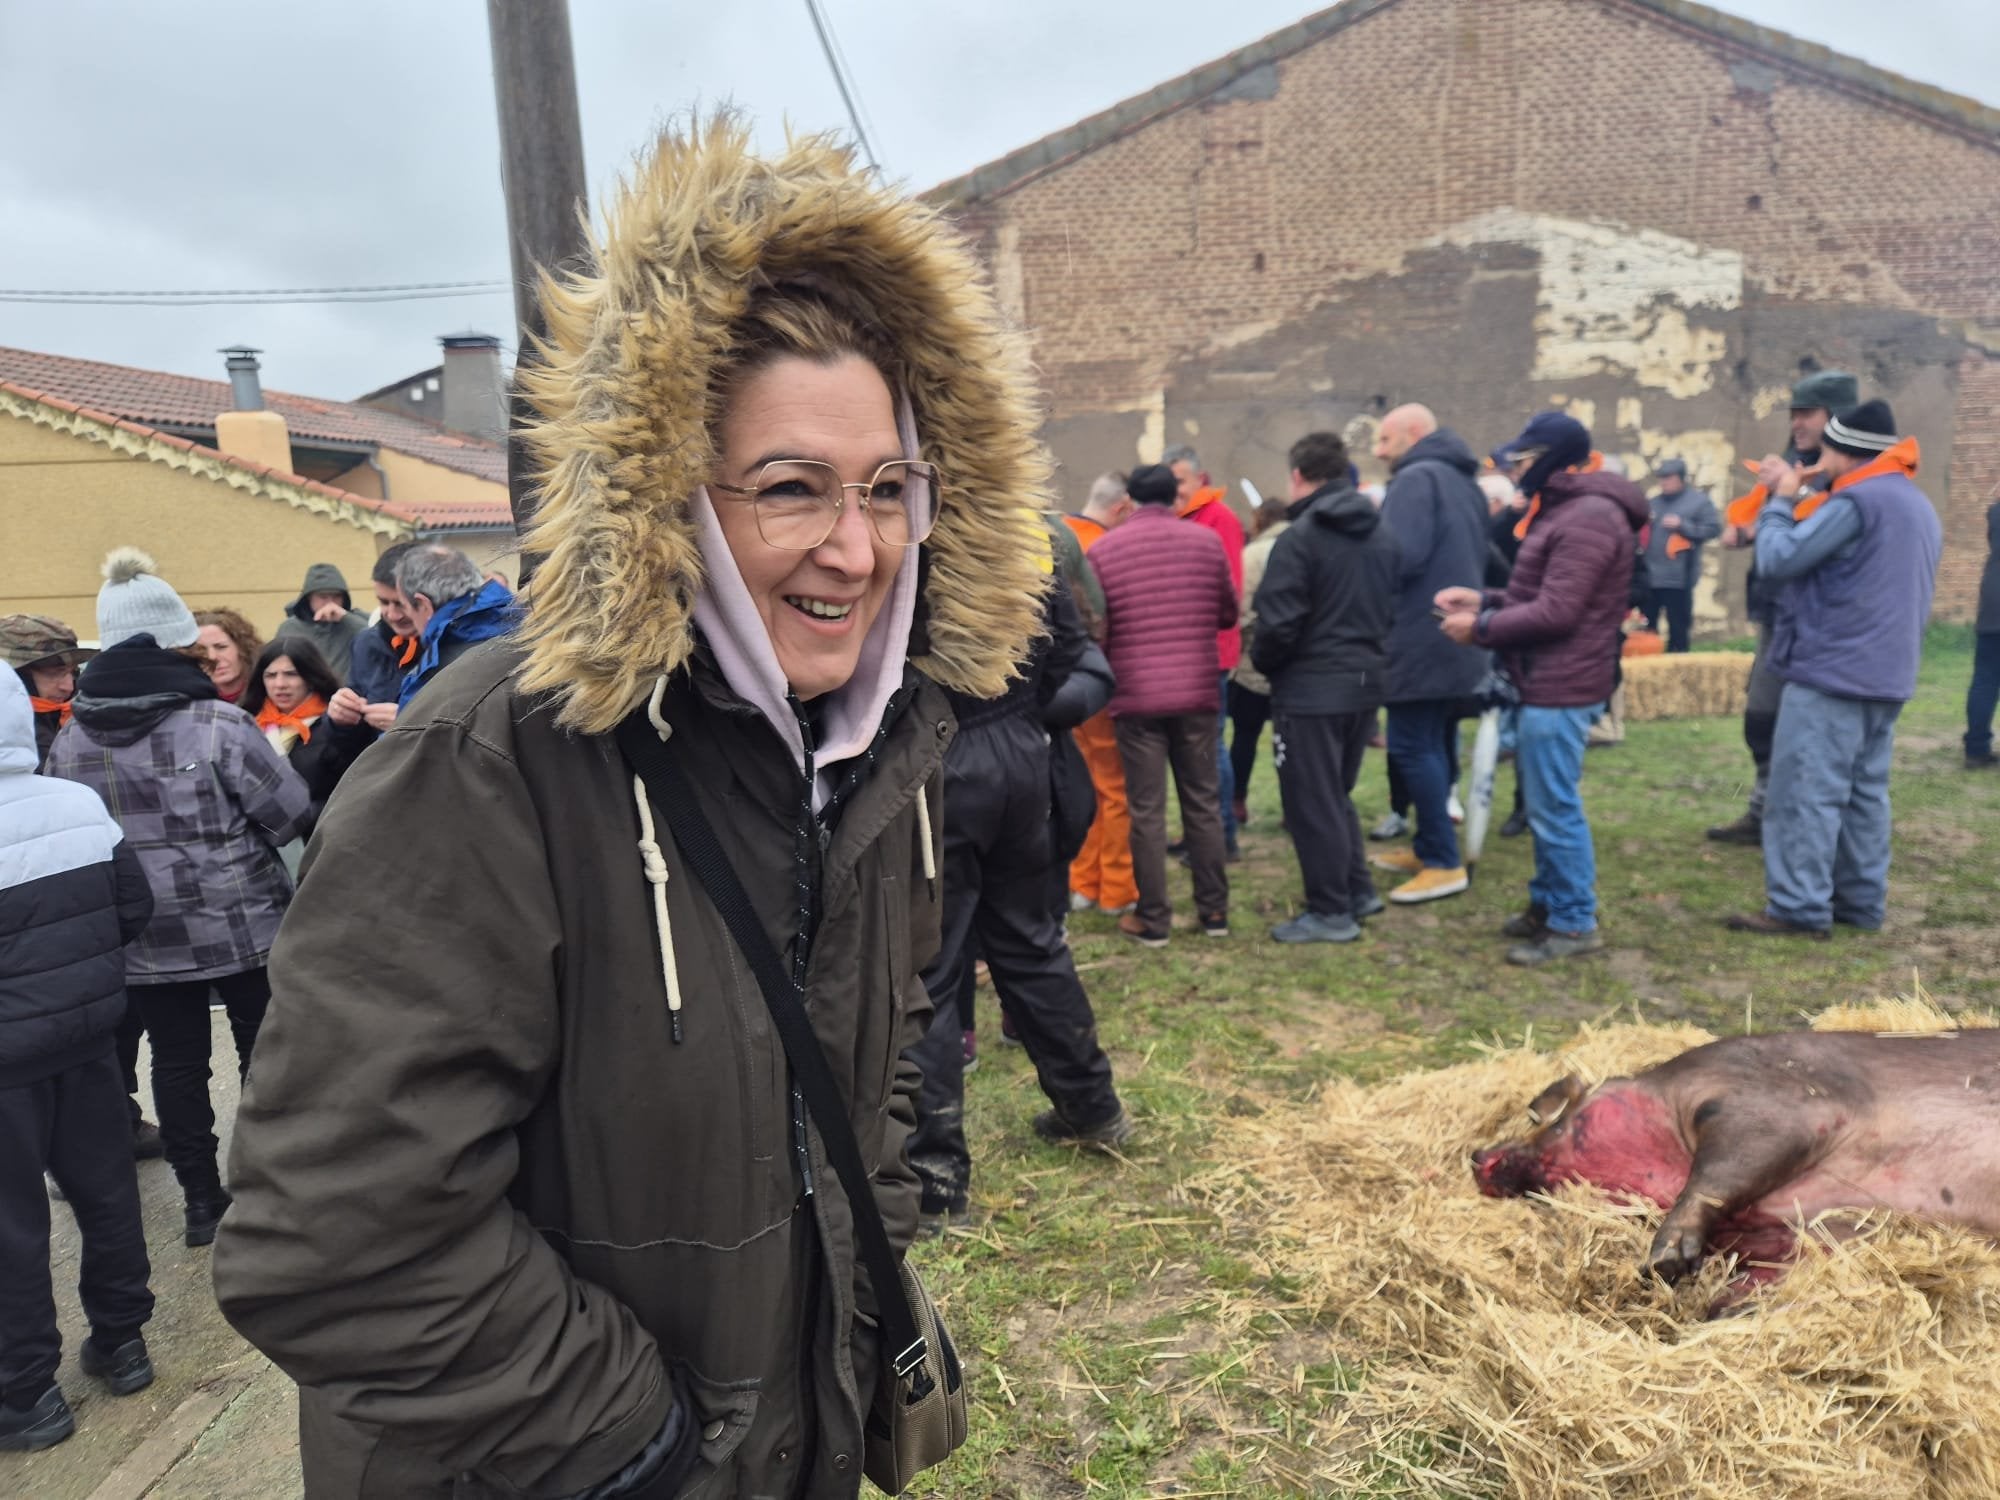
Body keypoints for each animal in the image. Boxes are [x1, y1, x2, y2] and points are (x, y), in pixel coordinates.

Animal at [1472, 1032, 2000, 1296]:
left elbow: (1715, 1178)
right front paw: (1714, 1310)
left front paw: (1663, 1261)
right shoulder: (1817, 1229)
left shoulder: (1774, 1107)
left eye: (1556, 1123)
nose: (1476, 1154)